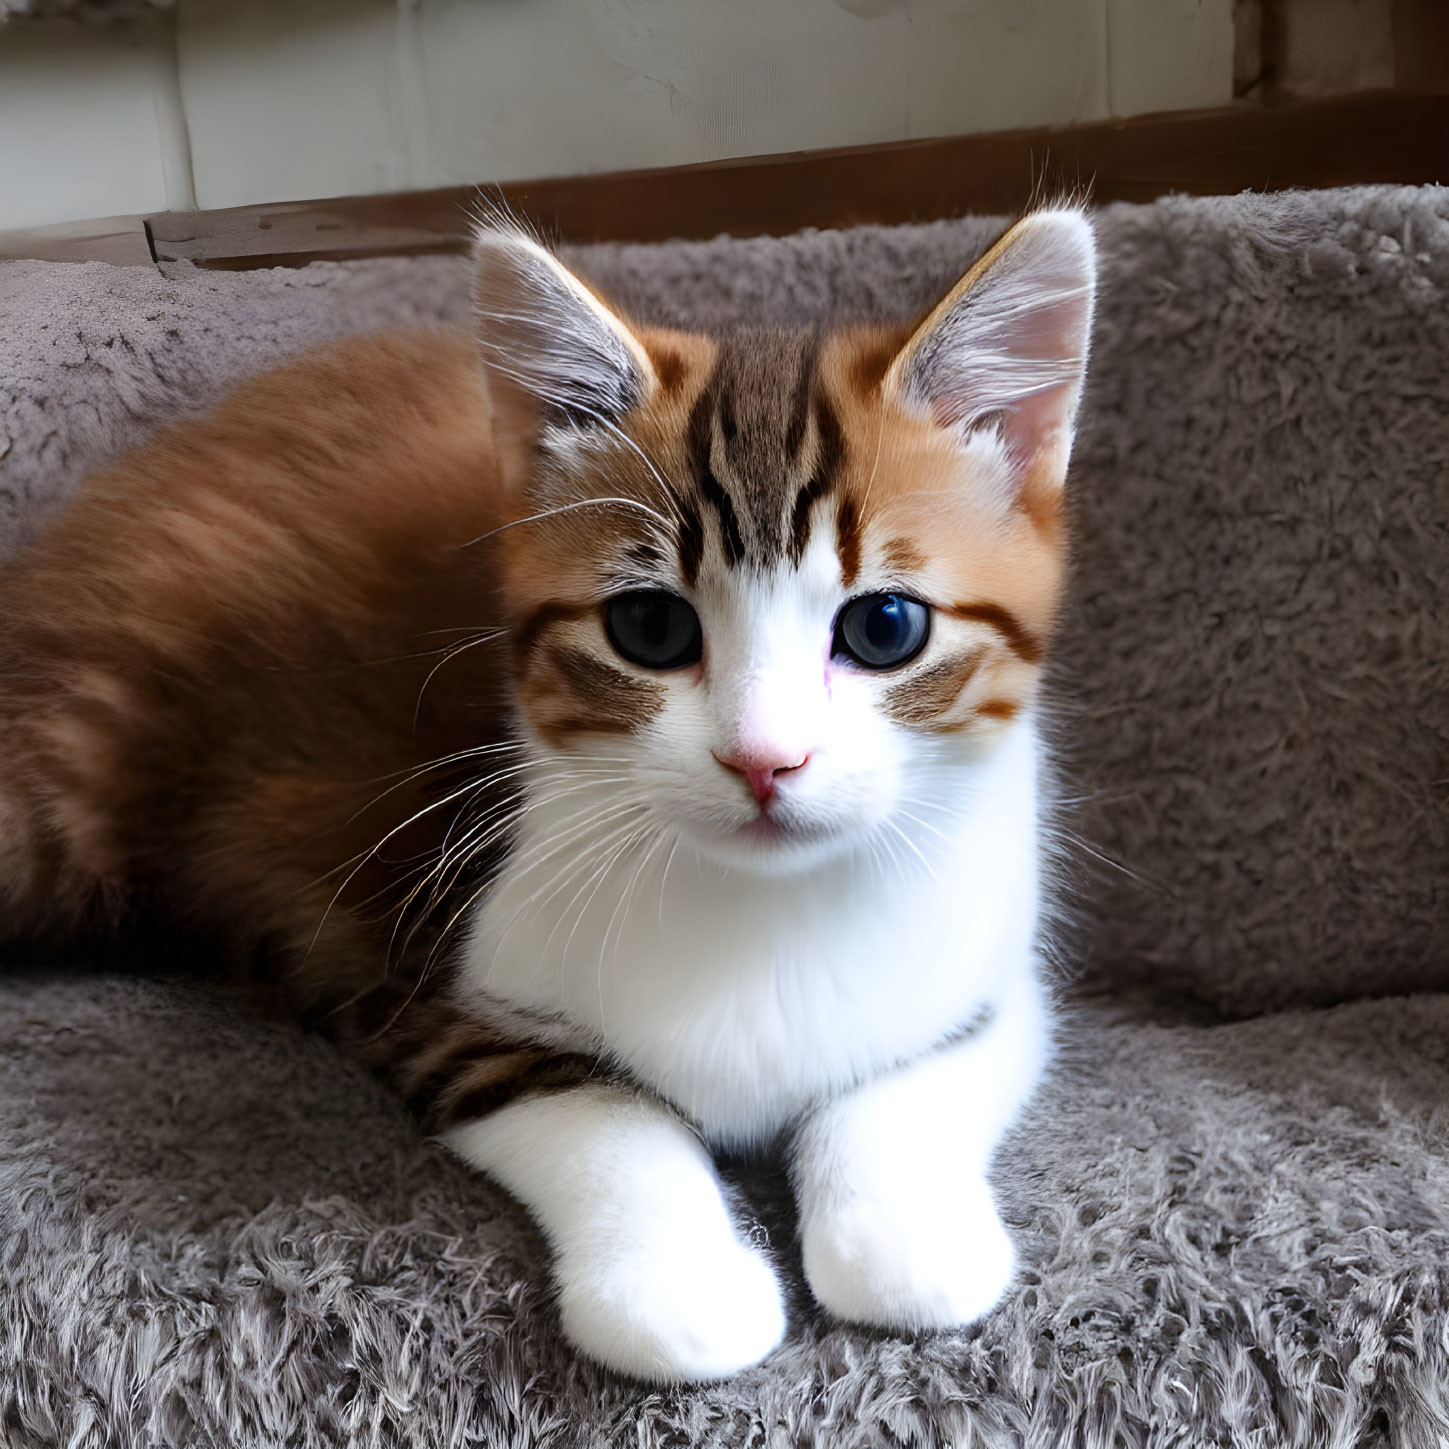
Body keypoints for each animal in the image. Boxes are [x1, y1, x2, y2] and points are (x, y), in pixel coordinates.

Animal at [0, 211, 1089, 1379]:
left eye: (885, 627)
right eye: (650, 627)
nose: (764, 760)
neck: (758, 905)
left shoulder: (997, 965)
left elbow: (915, 1077)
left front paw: (902, 1232)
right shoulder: (414, 971)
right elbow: (595, 1108)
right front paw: (677, 1278)